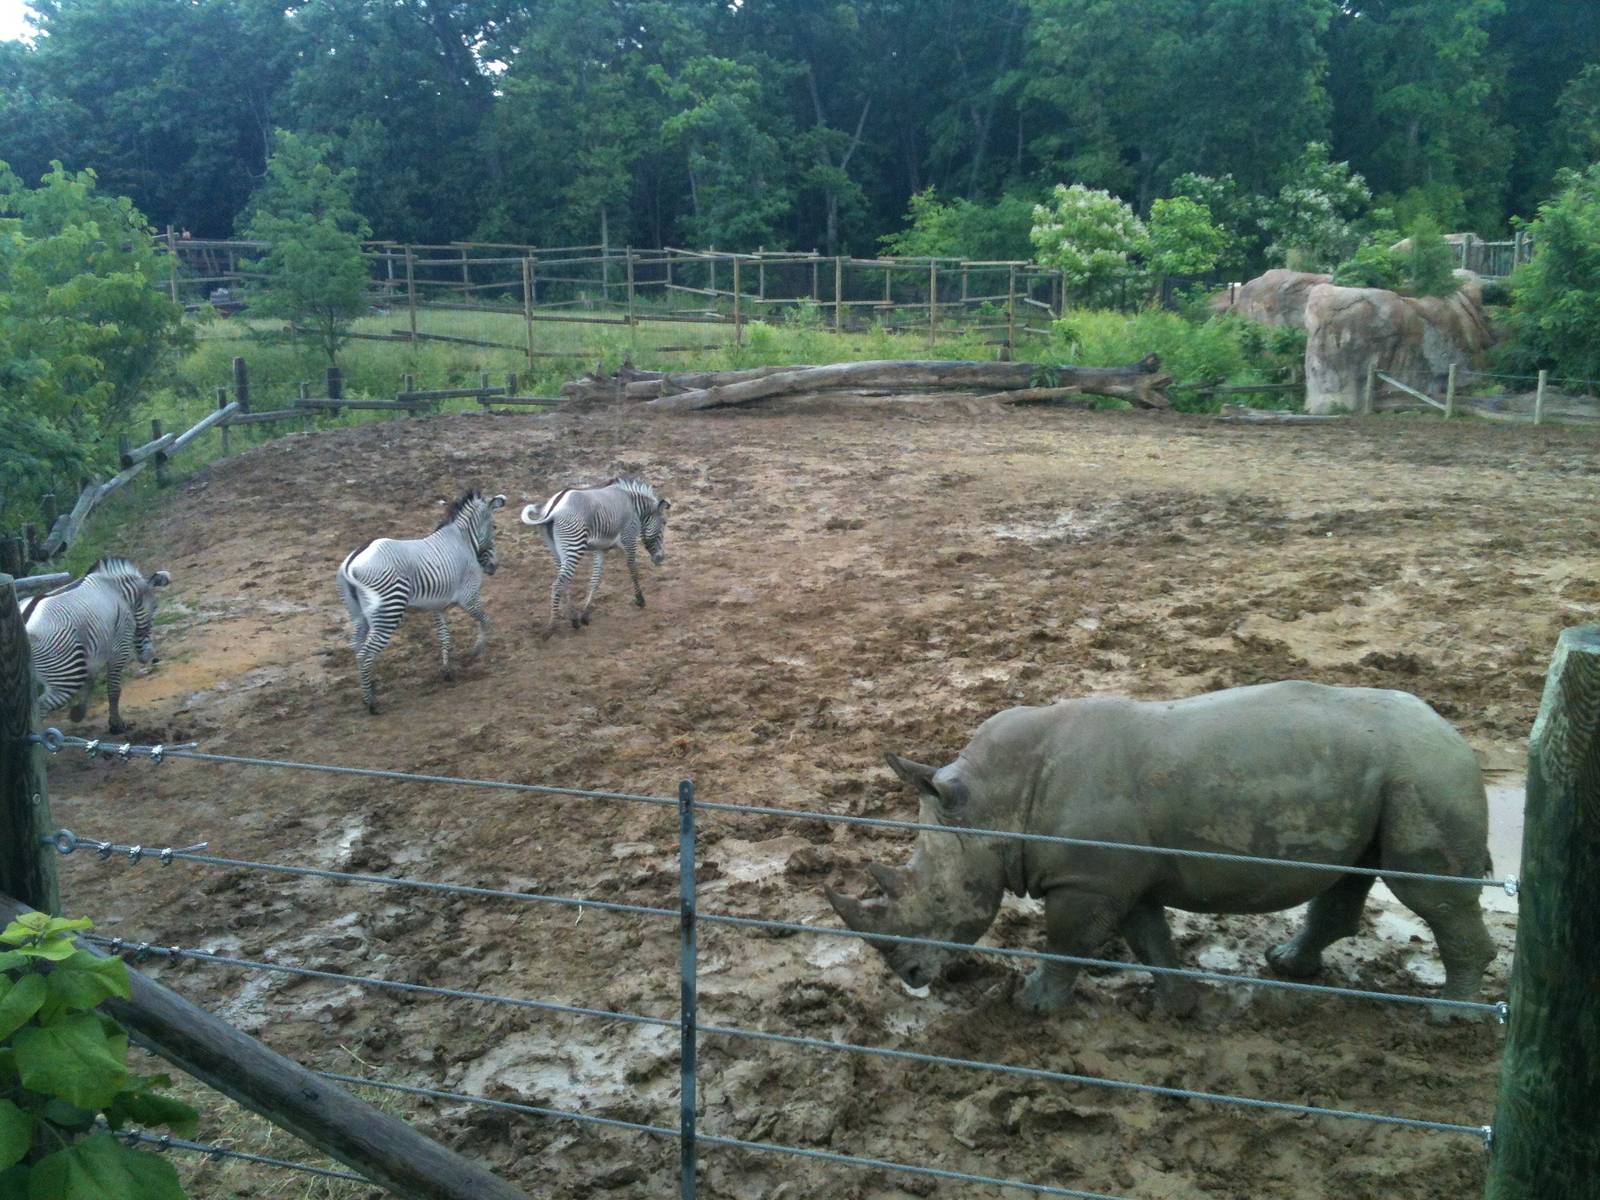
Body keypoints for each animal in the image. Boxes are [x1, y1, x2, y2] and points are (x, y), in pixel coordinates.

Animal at [23, 557, 172, 734]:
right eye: (155, 608)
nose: (149, 656)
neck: (118, 592)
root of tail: (24, 621)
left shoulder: (90, 653)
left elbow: (91, 683)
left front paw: (78, 713)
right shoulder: (118, 647)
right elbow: (114, 689)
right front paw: (116, 725)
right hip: (66, 676)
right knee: (40, 710)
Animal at [337, 489, 507, 714]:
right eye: (494, 527)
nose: (493, 567)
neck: (464, 540)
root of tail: (353, 561)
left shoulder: (439, 606)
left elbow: (445, 637)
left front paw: (447, 672)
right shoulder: (469, 597)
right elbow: (486, 621)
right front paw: (478, 652)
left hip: (358, 615)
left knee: (357, 648)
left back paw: (370, 691)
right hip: (388, 611)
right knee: (365, 654)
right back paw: (371, 703)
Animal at [520, 475, 671, 638]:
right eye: (664, 523)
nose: (660, 558)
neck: (635, 507)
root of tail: (553, 507)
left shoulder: (601, 549)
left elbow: (595, 579)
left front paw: (585, 614)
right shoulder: (629, 539)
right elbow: (633, 569)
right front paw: (640, 600)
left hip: (557, 552)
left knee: (564, 583)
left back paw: (574, 620)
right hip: (574, 545)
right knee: (557, 585)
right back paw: (551, 627)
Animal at [824, 681, 1495, 1019]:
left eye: (942, 902)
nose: (911, 978)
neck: (994, 802)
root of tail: (1453, 731)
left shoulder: (1086, 881)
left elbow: (1066, 943)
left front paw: (1033, 1007)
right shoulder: (1117, 875)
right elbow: (1150, 939)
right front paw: (1176, 1008)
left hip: (1425, 771)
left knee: (1427, 892)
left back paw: (1451, 1016)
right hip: (1392, 773)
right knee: (1352, 875)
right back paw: (1286, 966)